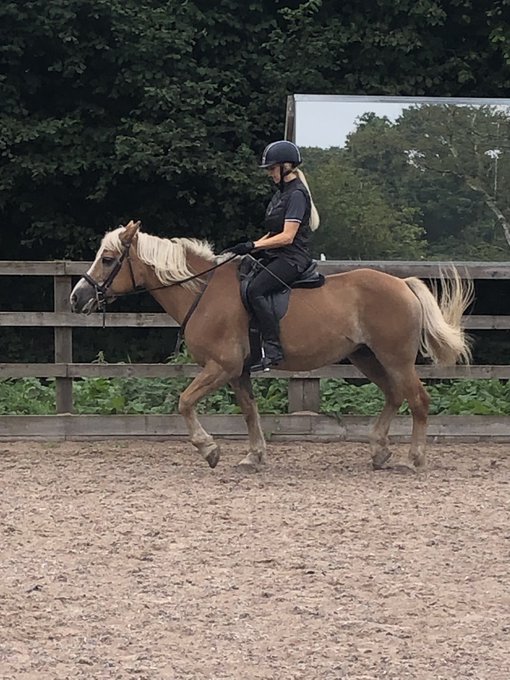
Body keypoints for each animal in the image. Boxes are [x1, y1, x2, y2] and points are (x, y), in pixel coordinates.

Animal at [70, 220, 473, 471]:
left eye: (108, 259)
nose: (77, 298)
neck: (203, 292)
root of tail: (401, 283)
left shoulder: (221, 367)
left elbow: (185, 402)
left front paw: (209, 449)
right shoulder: (237, 373)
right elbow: (250, 412)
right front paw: (254, 457)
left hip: (395, 358)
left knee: (418, 400)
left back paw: (413, 458)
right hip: (366, 357)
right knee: (394, 395)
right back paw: (379, 450)